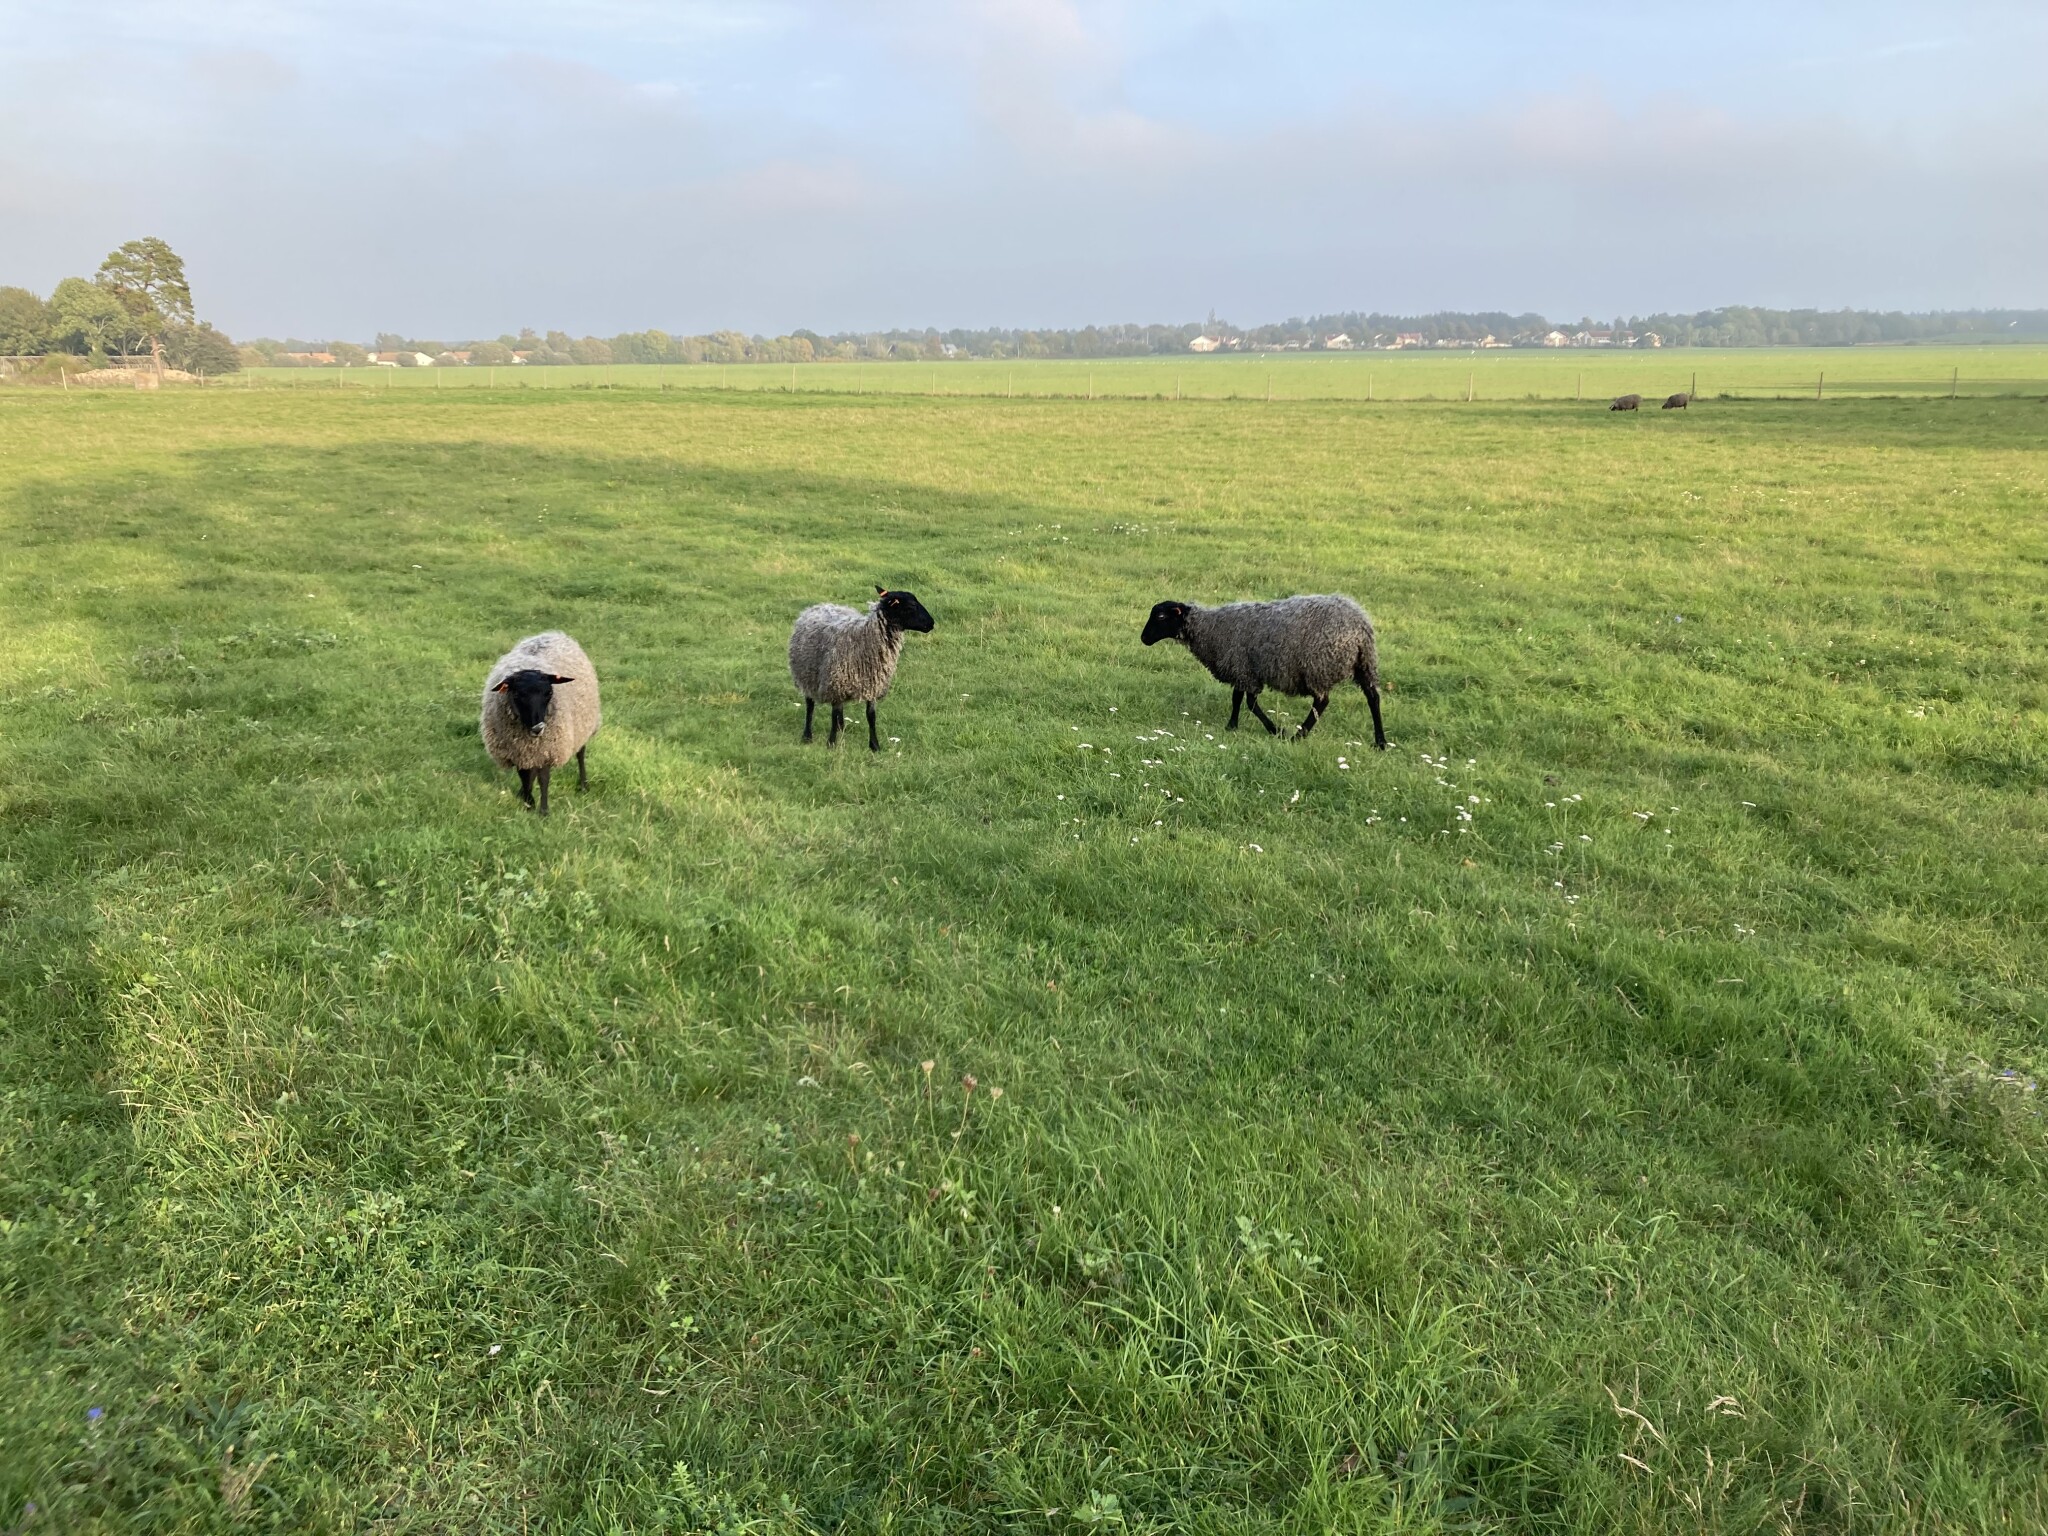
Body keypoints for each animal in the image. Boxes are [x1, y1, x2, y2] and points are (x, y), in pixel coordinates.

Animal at [480, 631, 601, 815]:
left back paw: (583, 785)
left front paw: (543, 811)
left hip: (583, 725)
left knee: (580, 754)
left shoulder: (548, 749)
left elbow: (543, 779)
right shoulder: (519, 751)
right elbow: (525, 776)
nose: (539, 728)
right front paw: (528, 802)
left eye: (549, 692)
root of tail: (553, 632)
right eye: (517, 694)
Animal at [788, 587, 935, 750]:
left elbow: (870, 716)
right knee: (810, 705)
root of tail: (820, 606)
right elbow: (833, 714)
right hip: (806, 673)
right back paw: (807, 735)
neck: (865, 637)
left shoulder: (872, 685)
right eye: (911, 606)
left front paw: (875, 746)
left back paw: (841, 727)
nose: (931, 623)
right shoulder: (836, 684)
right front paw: (831, 742)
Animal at [1140, 594, 1386, 748]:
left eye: (1160, 617)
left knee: (1322, 702)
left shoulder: (1245, 671)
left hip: (1318, 666)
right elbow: (1237, 699)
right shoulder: (1242, 669)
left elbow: (1249, 703)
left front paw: (1276, 731)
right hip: (1364, 664)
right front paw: (1232, 726)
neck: (1208, 628)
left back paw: (1299, 735)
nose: (1143, 639)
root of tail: (1358, 628)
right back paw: (1380, 741)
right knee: (1373, 697)